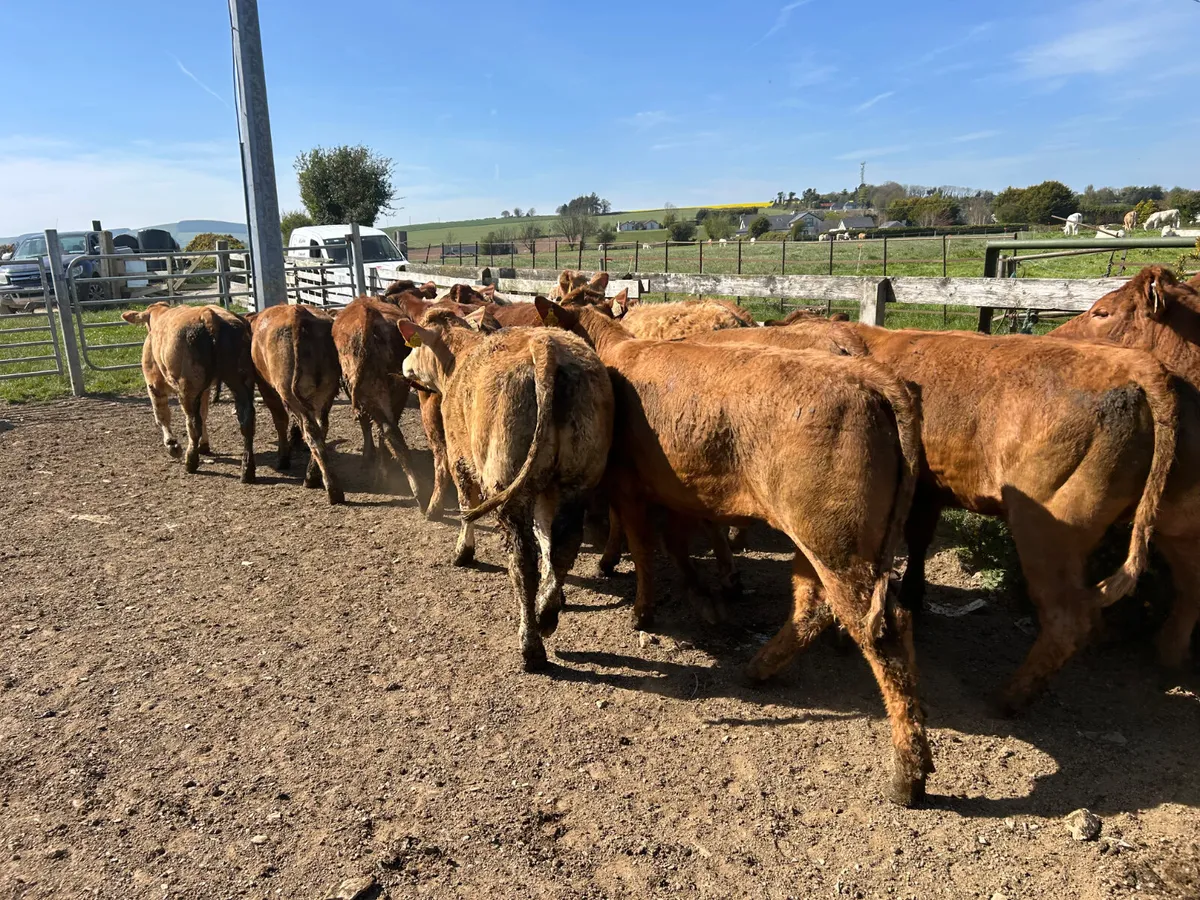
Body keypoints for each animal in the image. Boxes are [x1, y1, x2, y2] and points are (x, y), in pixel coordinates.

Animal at [121, 303, 256, 482]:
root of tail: (208, 315)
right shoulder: (205, 389)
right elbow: (204, 413)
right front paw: (204, 445)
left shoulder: (154, 384)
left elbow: (162, 416)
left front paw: (172, 445)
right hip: (241, 378)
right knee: (247, 421)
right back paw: (247, 470)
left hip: (188, 386)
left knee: (193, 423)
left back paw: (191, 460)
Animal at [248, 304, 344, 504]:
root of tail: (298, 315)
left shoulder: (266, 386)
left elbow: (280, 420)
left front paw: (283, 457)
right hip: (326, 390)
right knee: (321, 427)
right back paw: (314, 475)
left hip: (288, 391)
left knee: (310, 430)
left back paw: (329, 487)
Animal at [398, 311, 615, 671]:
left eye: (413, 346)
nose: (404, 365)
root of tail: (545, 345)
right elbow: (546, 538)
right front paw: (554, 594)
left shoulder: (459, 458)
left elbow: (466, 506)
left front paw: (463, 551)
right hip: (578, 476)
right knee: (564, 541)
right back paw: (546, 613)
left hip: (506, 480)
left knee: (522, 559)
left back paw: (531, 645)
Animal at [533, 296, 932, 807]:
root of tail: (874, 378)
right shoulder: (679, 492)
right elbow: (679, 547)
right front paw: (707, 598)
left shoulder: (629, 487)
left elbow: (644, 548)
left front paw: (643, 609)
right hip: (824, 541)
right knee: (813, 608)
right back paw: (759, 666)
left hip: (837, 545)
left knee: (883, 635)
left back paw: (908, 773)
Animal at [690, 320, 1179, 711]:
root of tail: (1139, 369)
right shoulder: (926, 492)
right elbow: (918, 544)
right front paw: (914, 599)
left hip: (1046, 532)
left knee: (1065, 619)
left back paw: (1008, 698)